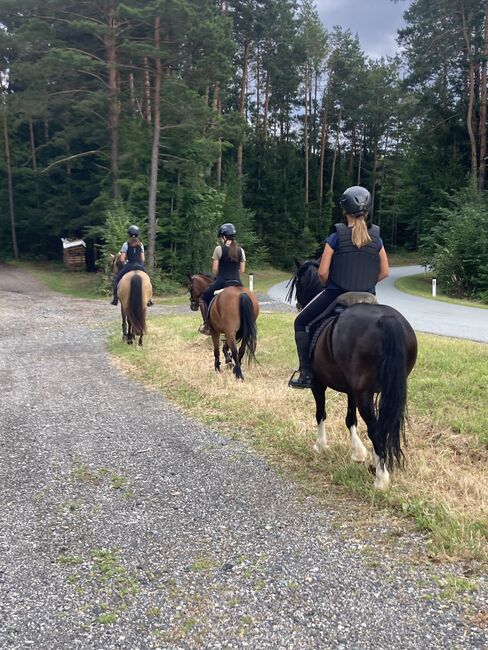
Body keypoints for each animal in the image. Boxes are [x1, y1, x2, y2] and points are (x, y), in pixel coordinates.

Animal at [288, 260, 418, 488]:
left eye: (299, 282)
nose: (299, 304)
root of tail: (386, 319)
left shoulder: (318, 384)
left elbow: (320, 413)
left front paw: (320, 445)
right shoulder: (351, 391)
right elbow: (350, 419)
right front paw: (358, 453)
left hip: (363, 394)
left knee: (376, 429)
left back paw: (381, 479)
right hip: (382, 392)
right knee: (383, 426)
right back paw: (379, 464)